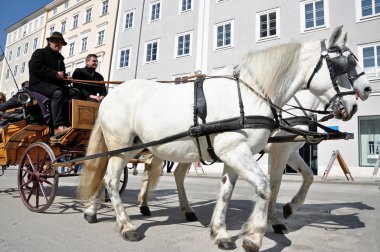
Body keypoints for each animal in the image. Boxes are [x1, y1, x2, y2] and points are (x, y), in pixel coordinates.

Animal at [78, 26, 370, 251]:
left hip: (143, 147)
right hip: (122, 147)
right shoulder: (254, 151)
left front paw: (221, 233)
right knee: (111, 179)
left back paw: (96, 211)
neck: (254, 94)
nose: (362, 95)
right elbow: (267, 185)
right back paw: (126, 225)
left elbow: (228, 192)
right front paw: (256, 234)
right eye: (342, 65)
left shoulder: (239, 154)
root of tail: (110, 95)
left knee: (117, 173)